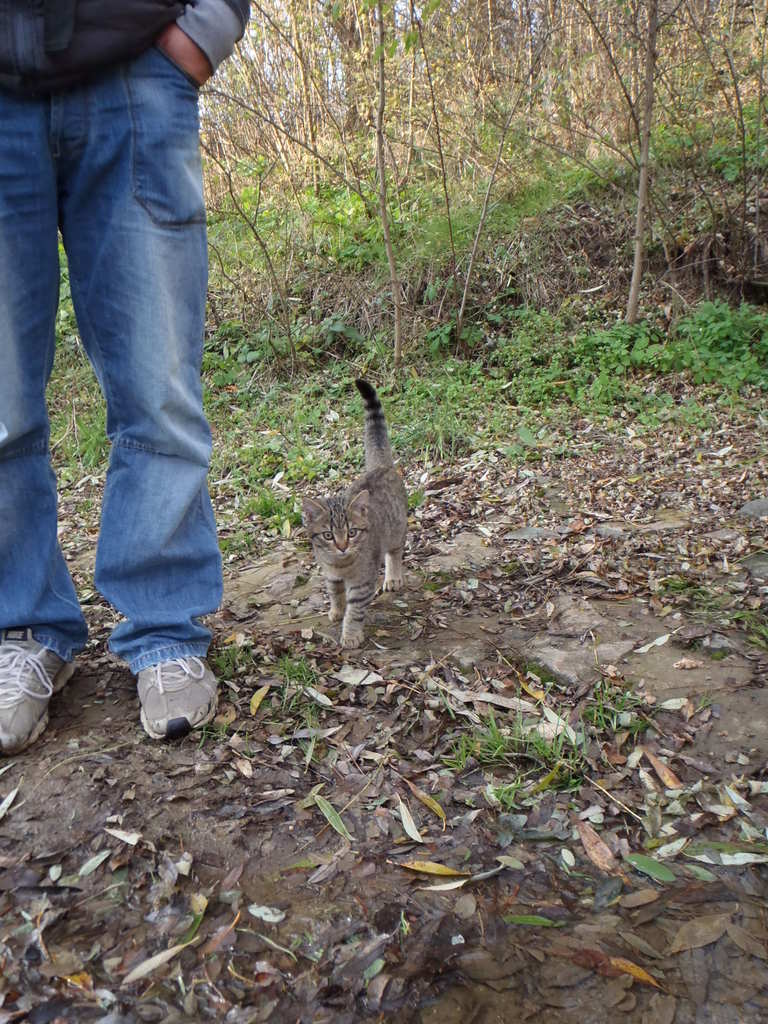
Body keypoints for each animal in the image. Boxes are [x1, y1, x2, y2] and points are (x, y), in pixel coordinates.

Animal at [301, 376, 409, 647]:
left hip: (396, 529)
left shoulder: (362, 583)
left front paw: (350, 634)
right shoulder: (331, 575)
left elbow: (355, 610)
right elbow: (335, 593)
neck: (341, 565)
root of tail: (381, 467)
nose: (342, 546)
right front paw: (336, 610)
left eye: (352, 532)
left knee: (395, 551)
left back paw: (393, 576)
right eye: (328, 535)